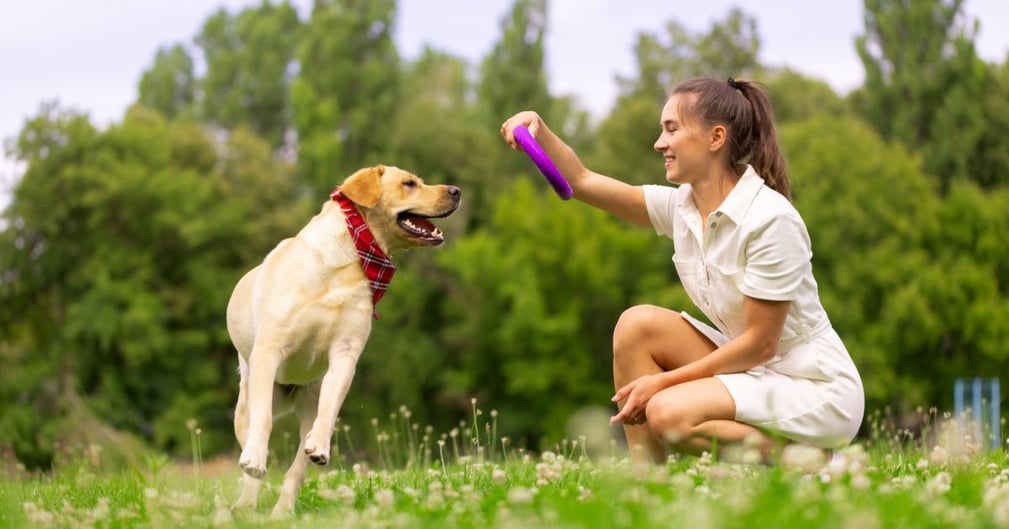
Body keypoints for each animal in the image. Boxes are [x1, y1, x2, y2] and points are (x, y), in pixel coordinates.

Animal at [227, 164, 460, 512]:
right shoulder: (270, 350)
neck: (351, 256)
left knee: (297, 467)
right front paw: (254, 459)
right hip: (246, 403)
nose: (457, 191)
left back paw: (282, 511)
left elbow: (329, 408)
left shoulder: (345, 354)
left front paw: (321, 445)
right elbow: (264, 420)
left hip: (308, 402)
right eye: (409, 183)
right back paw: (246, 501)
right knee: (255, 434)